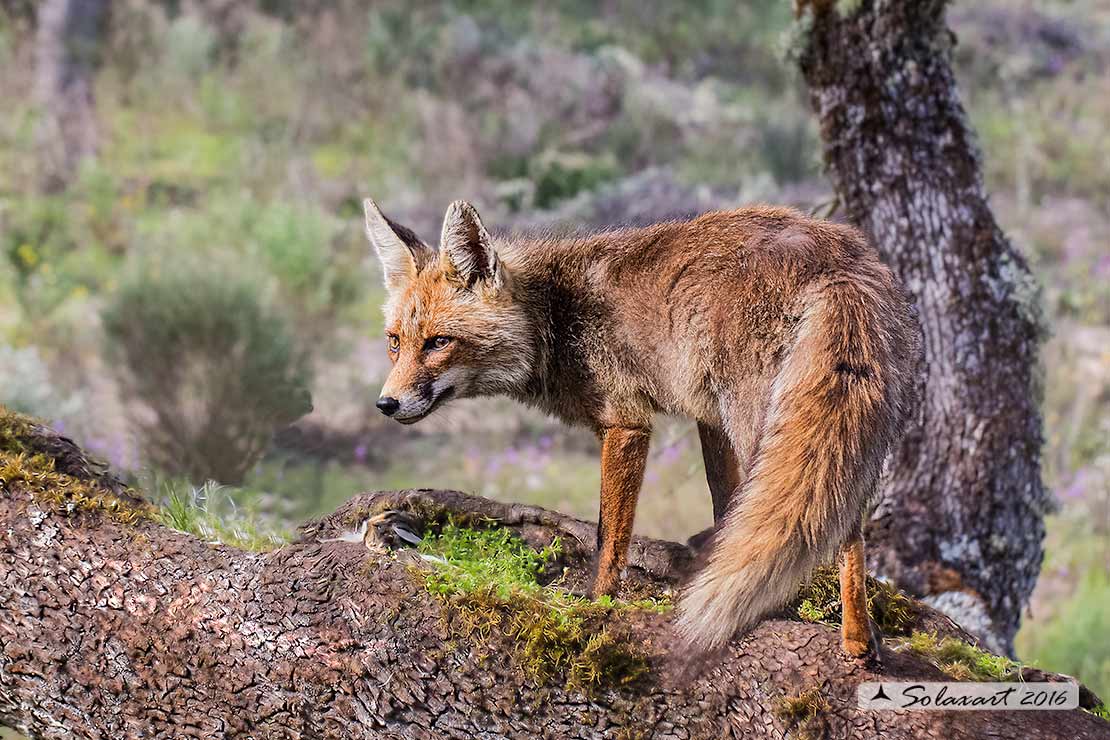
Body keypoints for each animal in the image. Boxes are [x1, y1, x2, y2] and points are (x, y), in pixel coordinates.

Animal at [364, 198, 919, 661]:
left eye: (439, 342)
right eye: (394, 343)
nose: (386, 404)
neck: (554, 316)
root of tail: (835, 252)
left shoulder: (626, 423)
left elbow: (609, 535)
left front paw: (597, 603)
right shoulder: (708, 418)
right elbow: (729, 508)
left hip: (763, 422)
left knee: (838, 524)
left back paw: (852, 639)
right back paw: (861, 636)